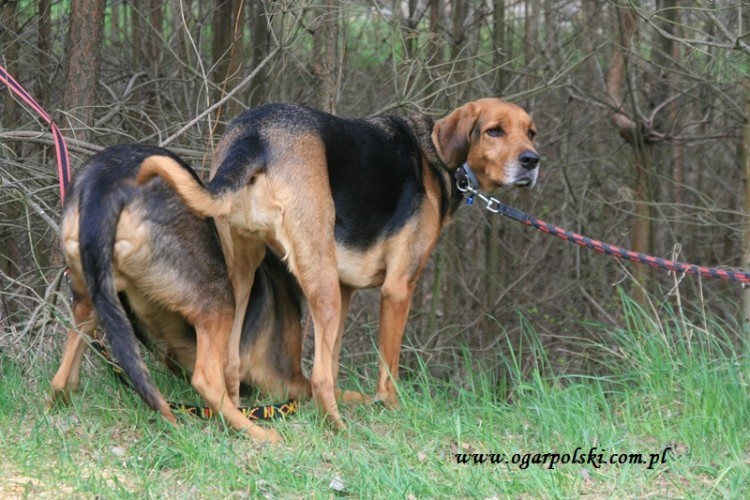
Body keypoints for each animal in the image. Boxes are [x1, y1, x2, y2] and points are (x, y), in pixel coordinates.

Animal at [50, 144, 310, 442]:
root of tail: (102, 187)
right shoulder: (286, 380)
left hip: (92, 293)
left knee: (62, 376)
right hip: (216, 300)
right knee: (206, 380)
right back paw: (258, 433)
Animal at [138, 96, 540, 430]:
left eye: (530, 132)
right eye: (494, 130)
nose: (532, 161)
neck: (439, 158)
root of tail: (256, 135)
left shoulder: (347, 290)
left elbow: (332, 362)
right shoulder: (398, 289)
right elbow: (385, 372)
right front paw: (393, 410)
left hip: (245, 274)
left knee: (234, 366)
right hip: (322, 280)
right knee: (314, 379)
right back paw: (337, 430)